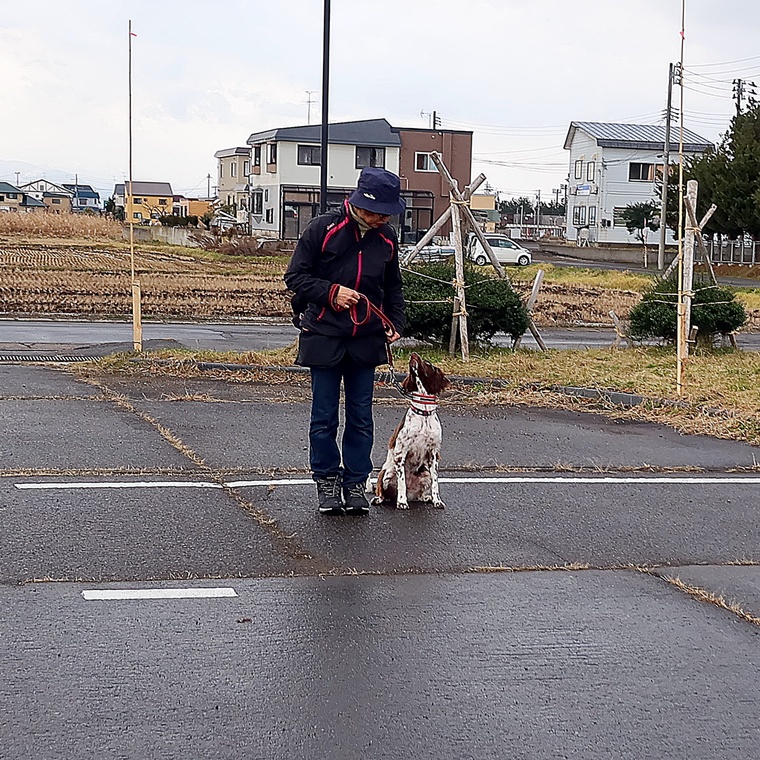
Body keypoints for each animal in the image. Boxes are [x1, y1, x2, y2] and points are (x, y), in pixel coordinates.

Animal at [374, 352, 450, 509]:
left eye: (428, 363)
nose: (413, 354)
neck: (424, 413)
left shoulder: (434, 453)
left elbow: (436, 482)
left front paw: (437, 500)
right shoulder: (400, 453)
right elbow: (402, 482)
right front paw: (402, 502)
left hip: (425, 474)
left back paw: (425, 497)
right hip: (386, 473)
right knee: (381, 490)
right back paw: (380, 499)